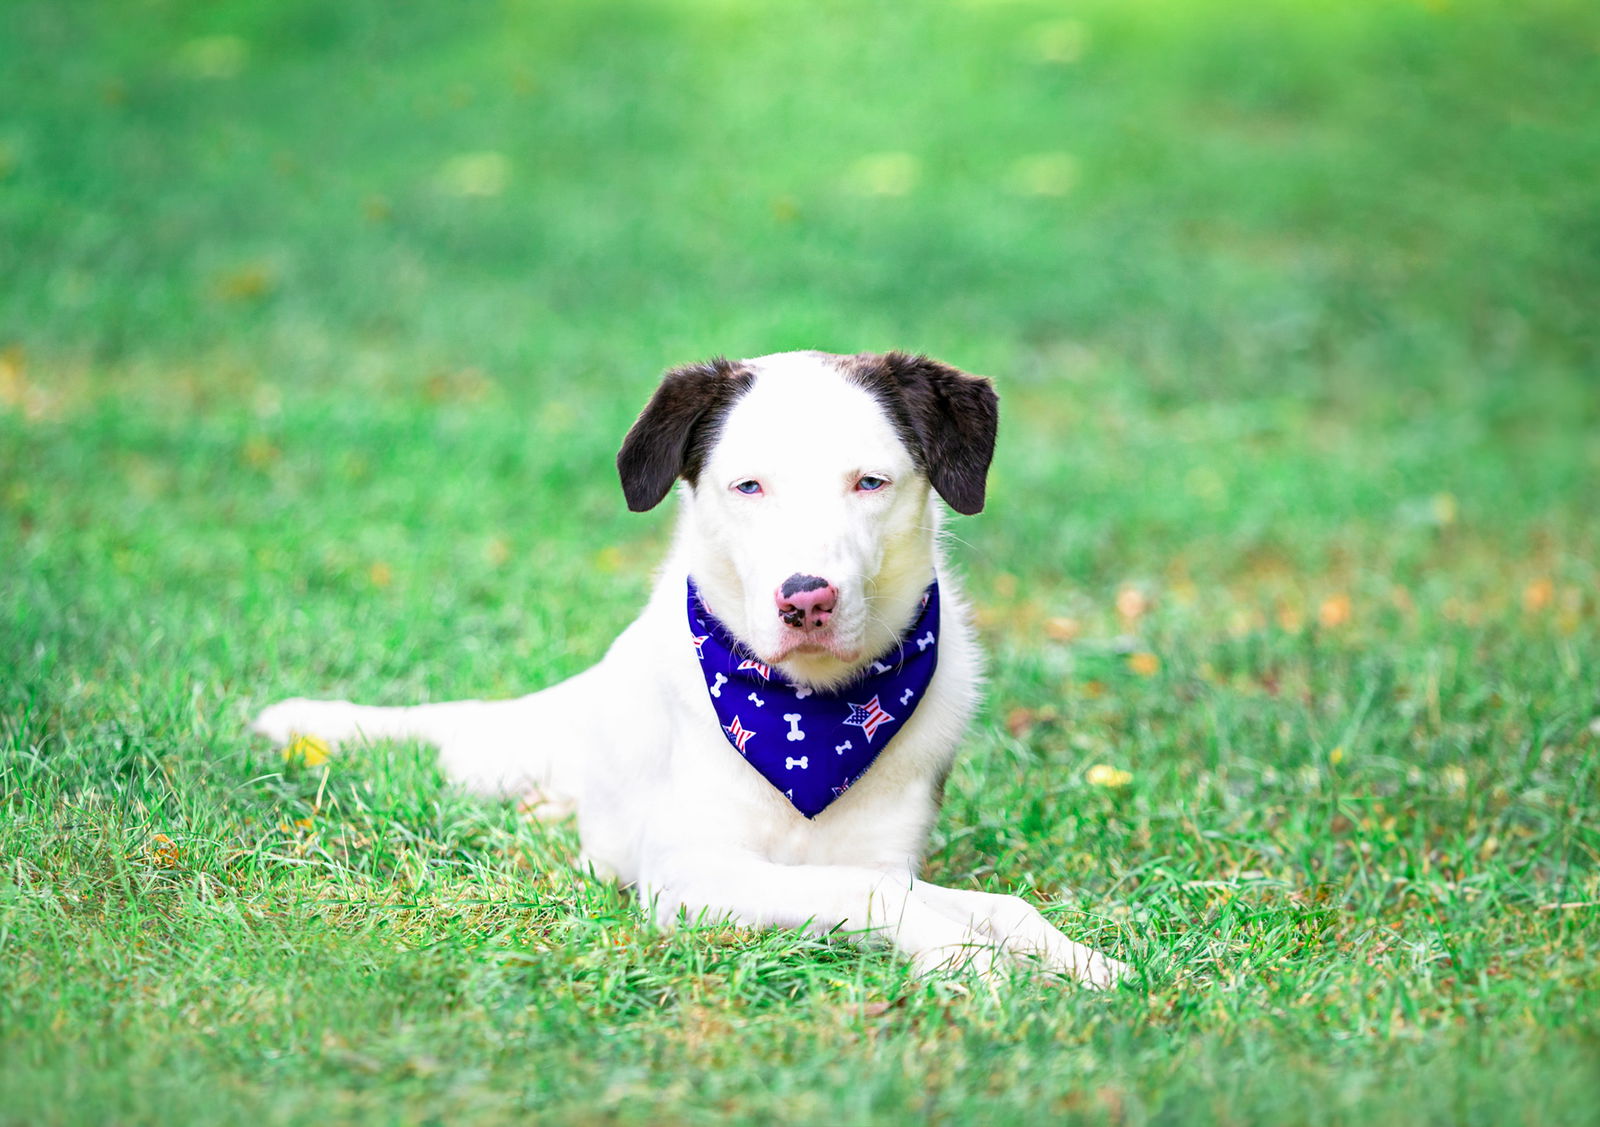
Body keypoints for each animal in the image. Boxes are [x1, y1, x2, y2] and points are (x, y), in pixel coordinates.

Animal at [252, 350, 1126, 986]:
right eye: (749, 485)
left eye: (870, 482)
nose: (805, 599)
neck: (808, 716)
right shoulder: (691, 879)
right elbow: (870, 891)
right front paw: (967, 958)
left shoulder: (886, 856)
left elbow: (996, 902)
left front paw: (1079, 960)